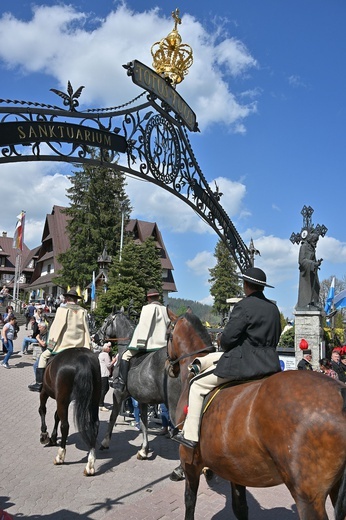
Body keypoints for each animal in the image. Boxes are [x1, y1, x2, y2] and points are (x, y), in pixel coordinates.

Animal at [166, 310, 346, 516]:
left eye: (167, 334)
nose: (169, 367)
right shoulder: (233, 467)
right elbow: (240, 507)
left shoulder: (190, 461)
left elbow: (190, 500)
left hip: (308, 497)